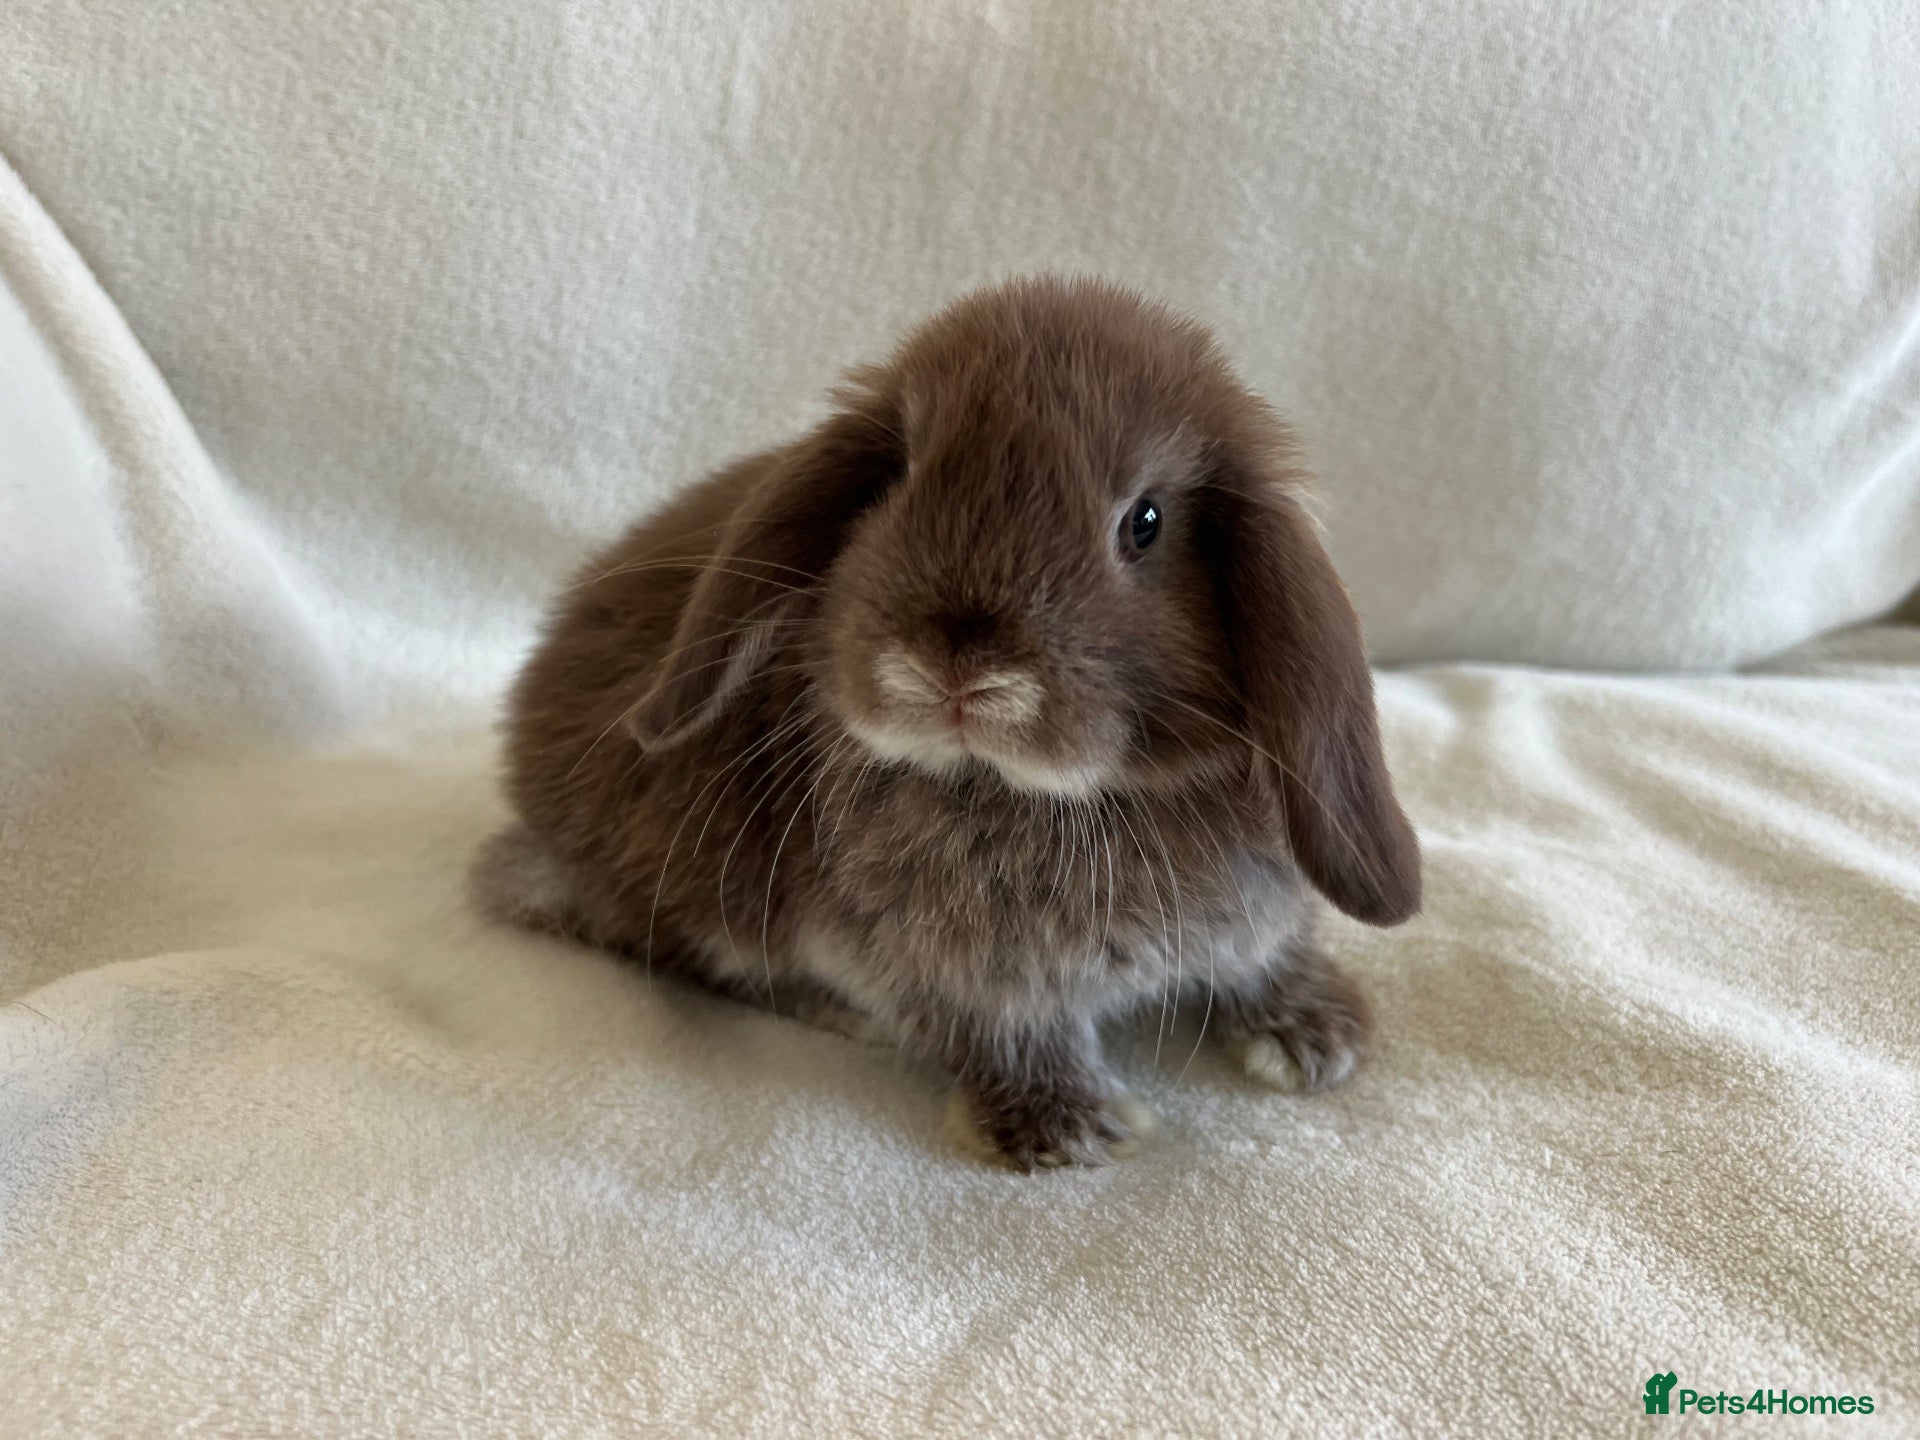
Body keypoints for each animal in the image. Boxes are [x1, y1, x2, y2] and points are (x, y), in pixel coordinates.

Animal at [475, 275, 1420, 1169]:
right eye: (896, 479)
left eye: (1146, 522)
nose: (955, 670)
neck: (1058, 800)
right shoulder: (950, 975)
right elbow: (1007, 1034)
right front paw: (1067, 1129)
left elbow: (1264, 961)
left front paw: (1318, 1035)